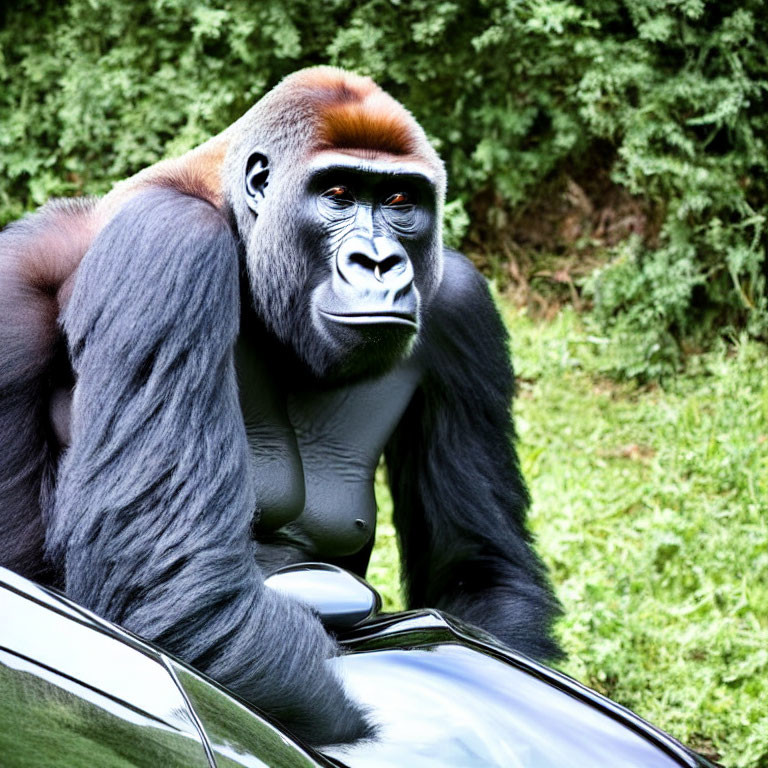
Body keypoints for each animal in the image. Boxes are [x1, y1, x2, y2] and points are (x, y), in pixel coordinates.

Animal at [1, 67, 564, 744]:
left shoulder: (461, 301)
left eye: (401, 202)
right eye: (338, 194)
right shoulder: (172, 240)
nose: (379, 262)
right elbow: (171, 582)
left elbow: (480, 571)